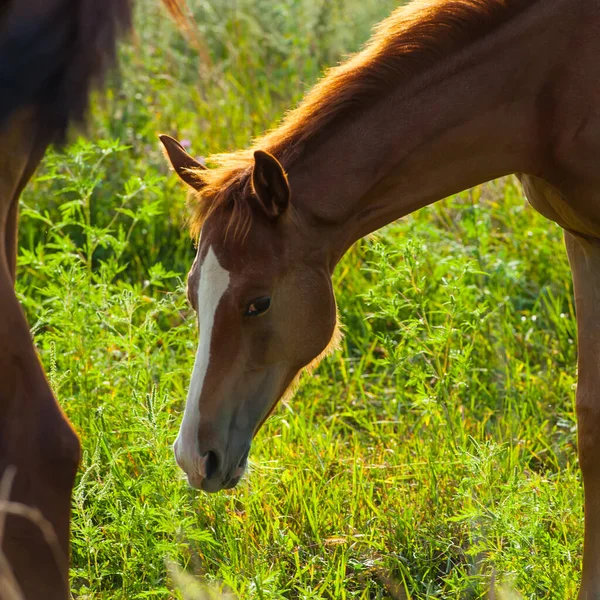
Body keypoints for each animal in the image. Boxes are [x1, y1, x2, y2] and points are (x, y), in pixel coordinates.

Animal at [162, 0, 600, 596]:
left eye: (258, 302)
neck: (552, 83)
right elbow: (590, 423)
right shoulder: (581, 238)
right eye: (192, 296)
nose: (192, 458)